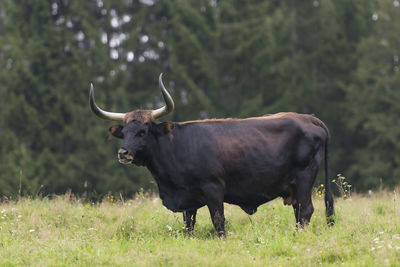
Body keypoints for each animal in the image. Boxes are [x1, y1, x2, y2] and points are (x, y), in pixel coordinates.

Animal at [89, 74, 332, 239]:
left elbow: (218, 220)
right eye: (125, 133)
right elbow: (188, 225)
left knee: (305, 211)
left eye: (143, 131)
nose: (123, 153)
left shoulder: (213, 189)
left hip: (304, 179)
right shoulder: (188, 199)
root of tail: (309, 118)